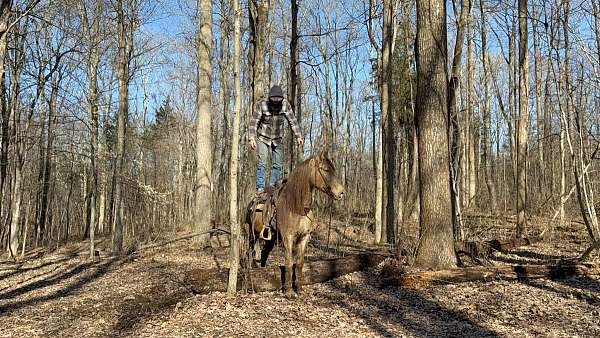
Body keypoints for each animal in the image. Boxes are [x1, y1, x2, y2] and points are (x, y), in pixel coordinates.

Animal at [244, 151, 344, 296]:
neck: (297, 206)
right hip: (251, 234)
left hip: (269, 239)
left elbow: (300, 263)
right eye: (325, 170)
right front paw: (290, 292)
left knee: (263, 254)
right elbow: (289, 263)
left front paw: (299, 289)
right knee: (249, 253)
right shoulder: (288, 238)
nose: (341, 193)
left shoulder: (304, 237)